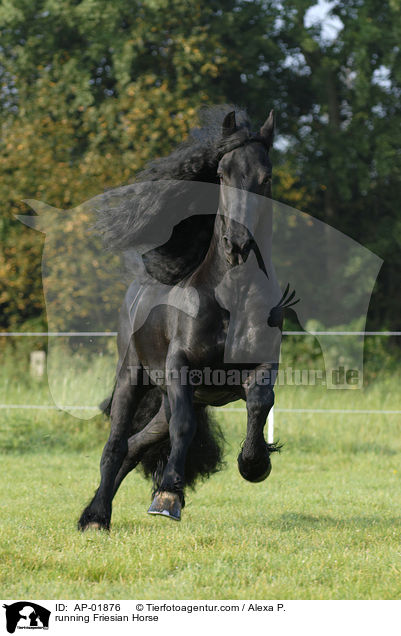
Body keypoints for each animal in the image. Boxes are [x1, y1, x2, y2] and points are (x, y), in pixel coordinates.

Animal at [78, 105, 294, 532]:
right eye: (222, 173)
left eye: (266, 177)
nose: (236, 244)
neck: (233, 298)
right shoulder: (180, 366)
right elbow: (184, 428)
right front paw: (167, 496)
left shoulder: (262, 366)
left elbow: (260, 403)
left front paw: (254, 463)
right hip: (133, 376)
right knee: (117, 444)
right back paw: (95, 518)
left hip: (168, 401)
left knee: (134, 446)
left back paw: (98, 511)